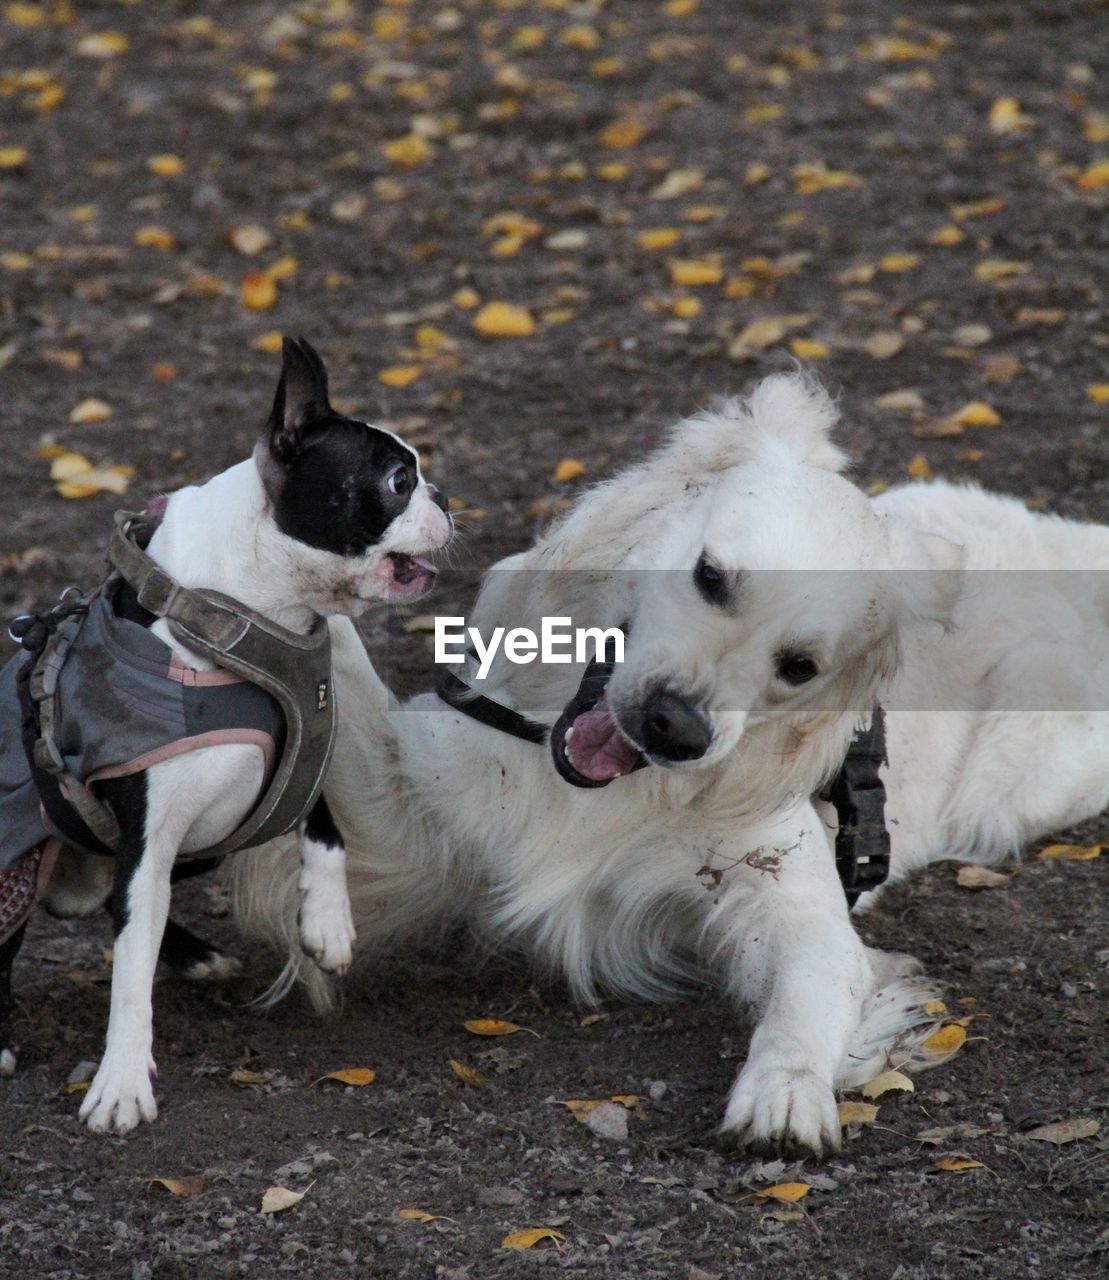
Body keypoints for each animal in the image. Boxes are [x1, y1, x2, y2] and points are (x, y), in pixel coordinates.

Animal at [1, 337, 450, 1131]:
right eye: (399, 482)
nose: (445, 498)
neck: (244, 620)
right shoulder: (147, 838)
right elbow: (128, 974)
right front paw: (121, 1082)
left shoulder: (302, 747)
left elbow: (326, 825)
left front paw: (327, 923)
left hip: (200, 848)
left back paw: (194, 955)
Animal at [229, 376, 1101, 1162]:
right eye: (711, 576)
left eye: (799, 665)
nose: (673, 727)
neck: (594, 786)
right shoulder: (416, 810)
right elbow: (340, 659)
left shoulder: (794, 903)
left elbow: (807, 998)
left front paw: (783, 1092)